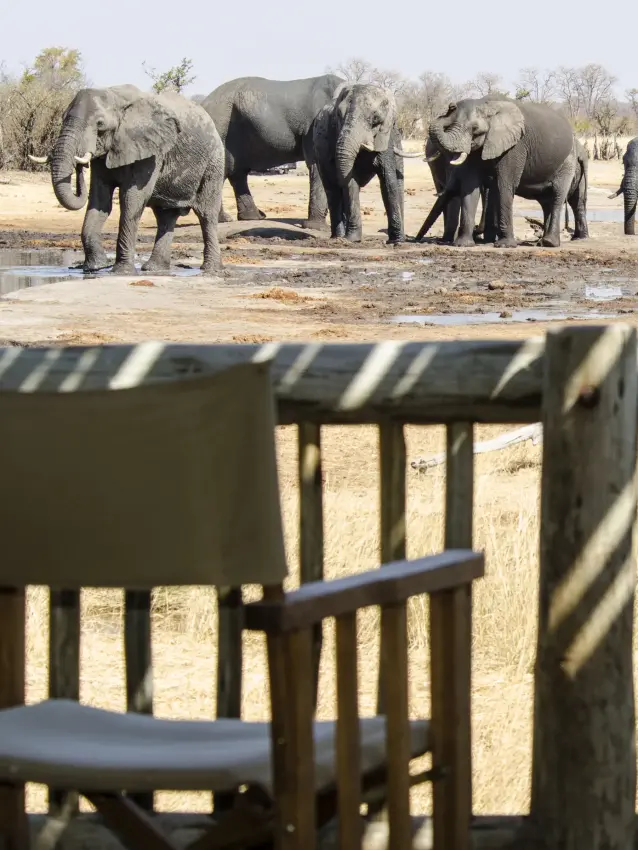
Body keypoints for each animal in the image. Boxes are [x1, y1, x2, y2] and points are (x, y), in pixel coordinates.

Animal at [29, 84, 225, 275]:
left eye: (100, 124)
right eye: (63, 118)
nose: (79, 166)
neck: (115, 96)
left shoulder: (151, 152)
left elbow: (131, 200)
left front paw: (121, 271)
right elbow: (99, 201)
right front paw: (94, 267)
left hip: (214, 161)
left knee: (206, 214)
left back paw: (210, 270)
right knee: (165, 216)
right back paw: (155, 269)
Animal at [200, 74, 344, 228]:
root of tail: (204, 102)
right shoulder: (314, 126)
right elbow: (317, 164)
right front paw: (317, 228)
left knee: (237, 172)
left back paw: (253, 217)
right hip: (220, 124)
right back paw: (223, 219)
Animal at [312, 83, 422, 244]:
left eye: (375, 119)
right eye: (338, 115)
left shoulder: (384, 140)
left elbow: (388, 181)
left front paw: (397, 242)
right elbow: (350, 181)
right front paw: (353, 239)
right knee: (332, 191)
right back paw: (338, 237)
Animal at [426, 96, 581, 247]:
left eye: (475, 129)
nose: (451, 106)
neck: (487, 105)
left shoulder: (515, 146)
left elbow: (504, 185)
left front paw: (505, 245)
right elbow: (470, 187)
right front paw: (463, 245)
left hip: (568, 160)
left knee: (557, 195)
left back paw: (549, 243)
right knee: (547, 201)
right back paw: (542, 243)